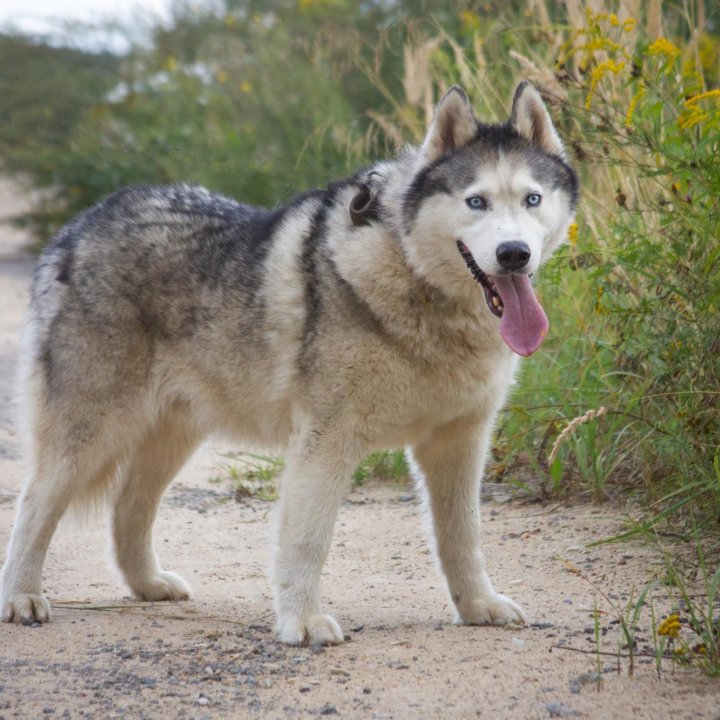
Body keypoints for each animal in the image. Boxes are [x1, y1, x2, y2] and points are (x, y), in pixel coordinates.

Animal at [0, 81, 572, 644]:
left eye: (532, 199)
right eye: (476, 201)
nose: (514, 253)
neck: (416, 285)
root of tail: (79, 226)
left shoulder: (459, 443)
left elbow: (463, 537)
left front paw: (478, 606)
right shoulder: (326, 441)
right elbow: (308, 540)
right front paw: (303, 622)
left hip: (171, 439)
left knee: (127, 509)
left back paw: (148, 585)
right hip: (89, 436)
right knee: (34, 507)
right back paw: (22, 598)